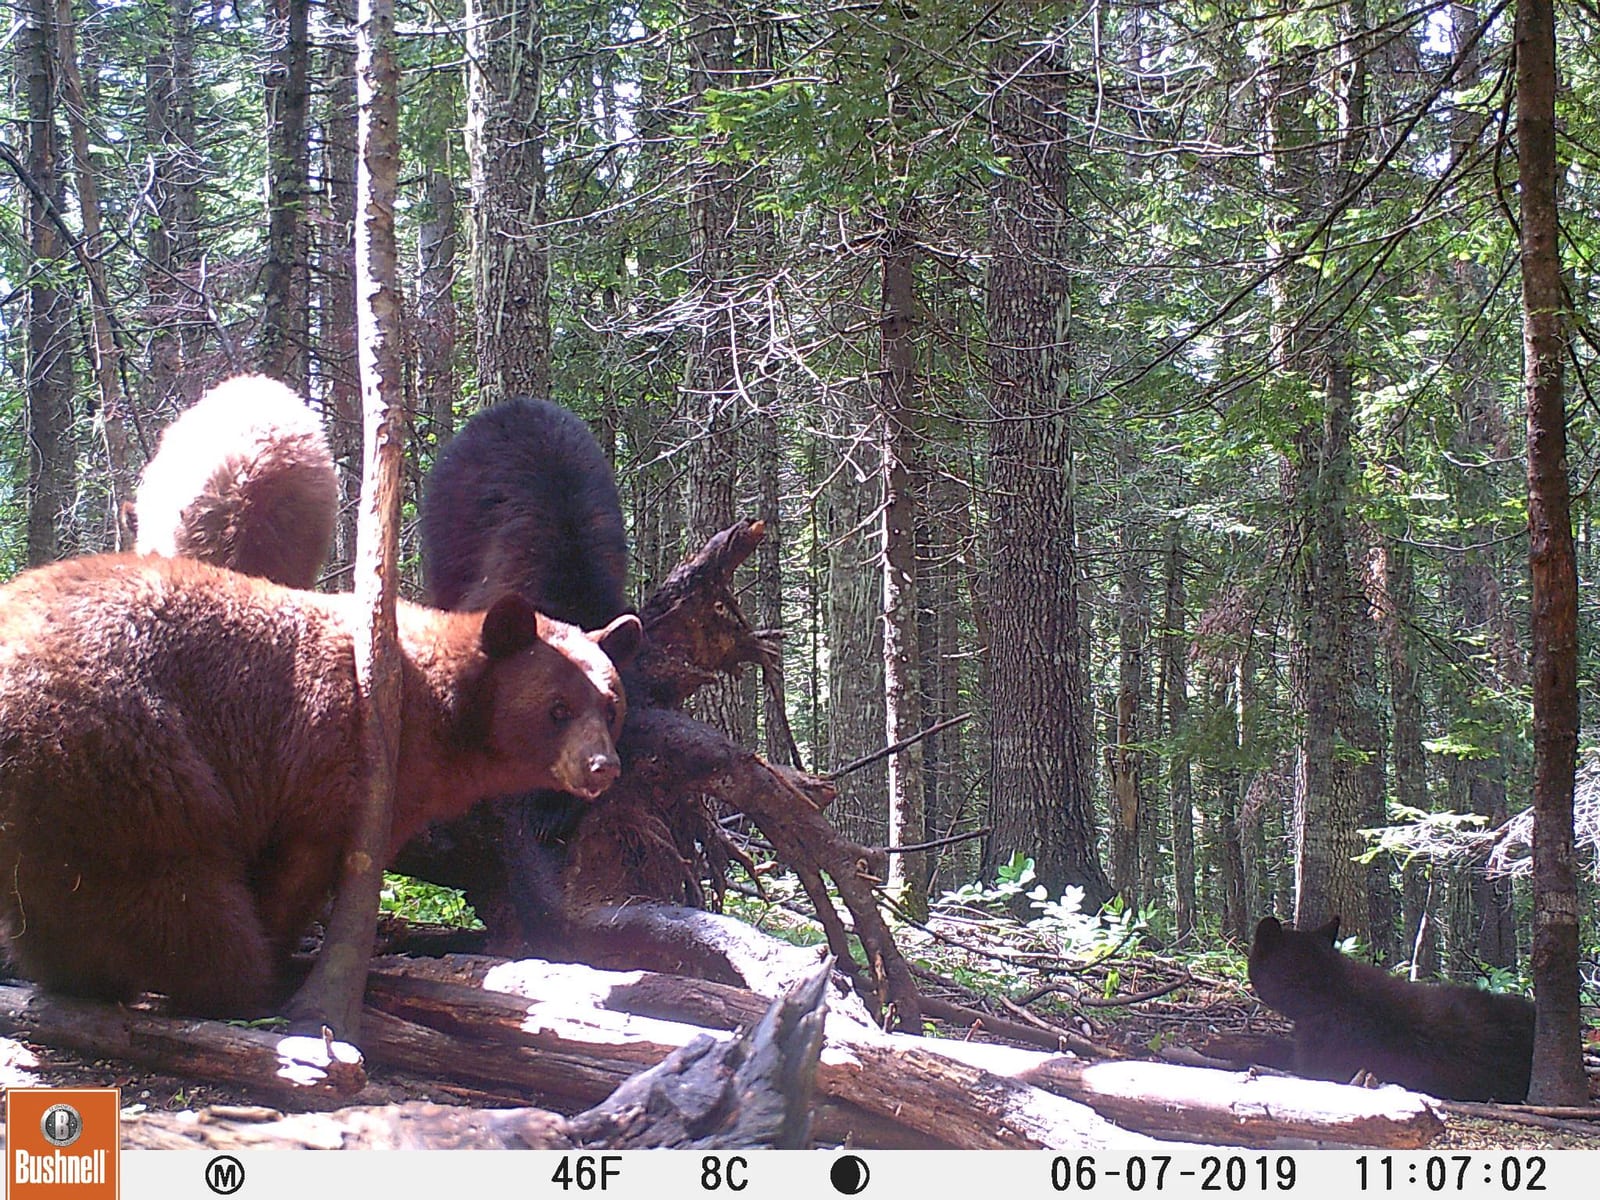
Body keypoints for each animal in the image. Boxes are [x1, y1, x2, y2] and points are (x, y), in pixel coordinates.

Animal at [0, 552, 641, 1017]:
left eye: (610, 706)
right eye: (557, 709)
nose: (601, 767)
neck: (431, 710)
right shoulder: (329, 749)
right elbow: (300, 862)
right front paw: (283, 949)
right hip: (127, 755)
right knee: (179, 889)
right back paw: (239, 984)